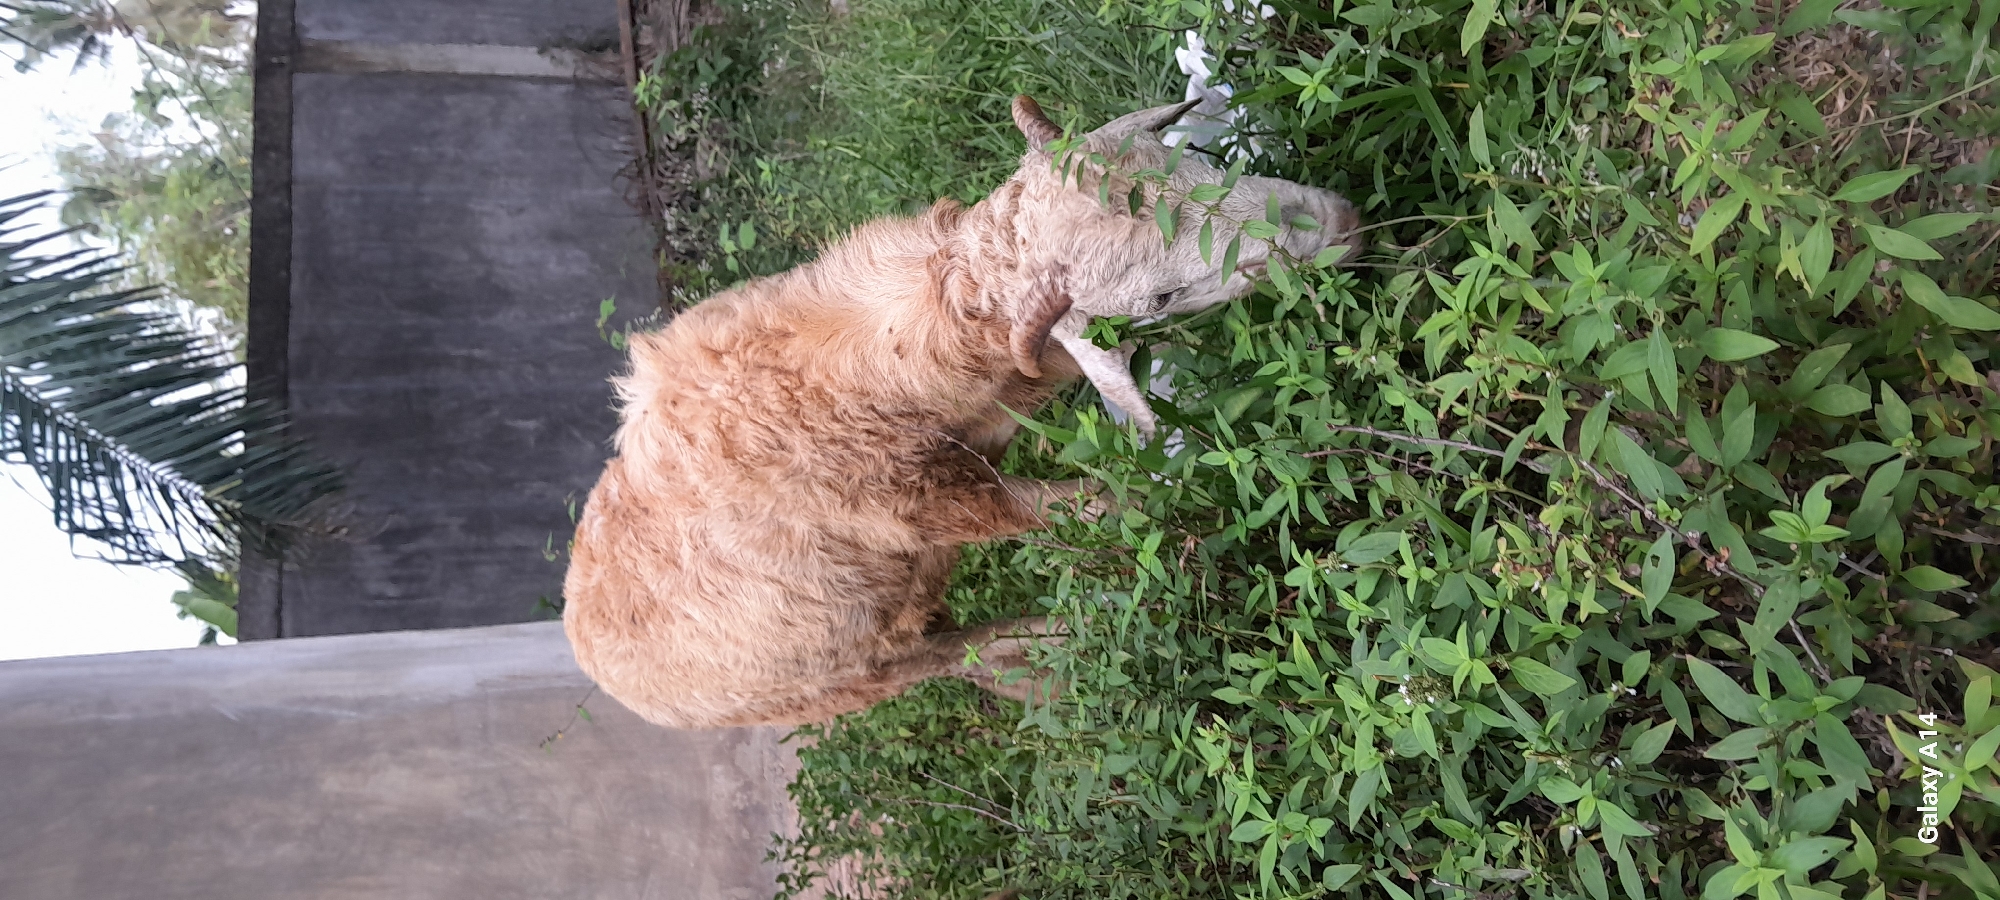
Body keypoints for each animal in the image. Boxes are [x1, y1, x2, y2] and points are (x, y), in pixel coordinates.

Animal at [562, 95, 1359, 729]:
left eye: (1186, 155)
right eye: (1159, 296)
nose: (1336, 220)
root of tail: (585, 645)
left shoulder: (996, 414)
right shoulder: (937, 503)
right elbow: (1088, 506)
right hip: (857, 678)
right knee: (957, 655)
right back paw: (1063, 649)